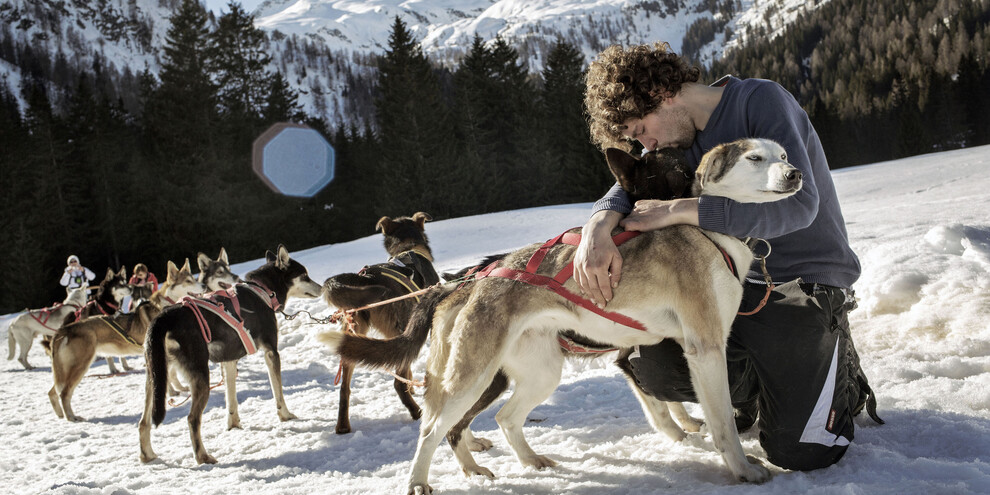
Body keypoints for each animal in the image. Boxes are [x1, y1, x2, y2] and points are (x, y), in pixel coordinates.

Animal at [48, 260, 209, 422]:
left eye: (193, 278)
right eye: (188, 281)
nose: (204, 285)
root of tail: (64, 329)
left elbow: (172, 374)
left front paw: (178, 389)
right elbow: (166, 376)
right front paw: (171, 392)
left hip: (65, 370)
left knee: (53, 392)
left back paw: (60, 415)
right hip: (79, 366)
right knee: (64, 393)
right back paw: (71, 417)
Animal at [140, 246, 322, 466]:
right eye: (304, 276)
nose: (322, 288)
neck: (263, 291)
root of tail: (164, 317)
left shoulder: (229, 361)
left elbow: (231, 399)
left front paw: (233, 424)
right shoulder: (271, 352)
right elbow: (278, 391)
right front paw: (285, 415)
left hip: (155, 378)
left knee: (143, 422)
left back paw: (147, 455)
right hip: (200, 377)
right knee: (192, 419)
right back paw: (203, 457)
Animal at [324, 212, 440, 434]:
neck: (408, 247)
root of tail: (367, 278)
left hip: (352, 338)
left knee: (344, 389)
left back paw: (342, 425)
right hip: (401, 331)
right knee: (397, 382)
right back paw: (417, 412)